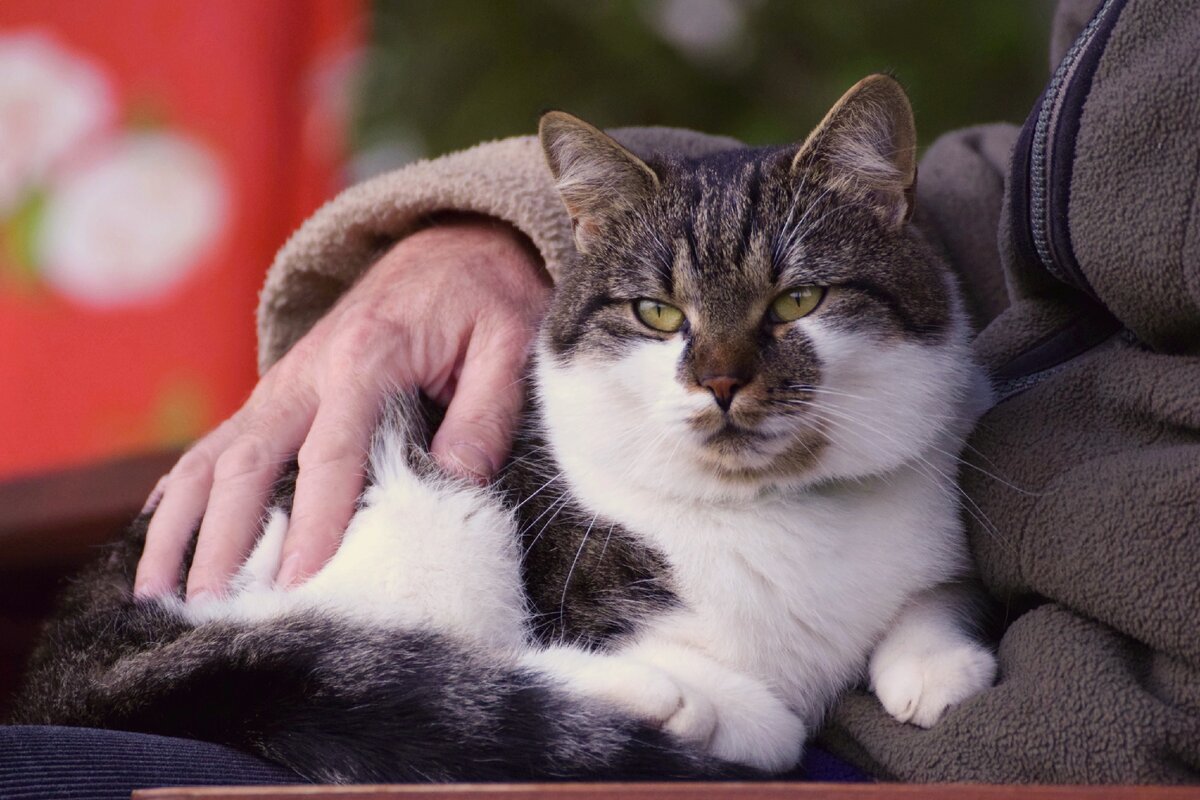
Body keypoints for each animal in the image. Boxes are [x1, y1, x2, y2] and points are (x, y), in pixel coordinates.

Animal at [14, 74, 998, 782]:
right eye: (658, 313)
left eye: (798, 300)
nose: (720, 381)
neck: (777, 513)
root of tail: (69, 650)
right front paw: (720, 702)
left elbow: (935, 589)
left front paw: (932, 664)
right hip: (417, 505)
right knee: (370, 652)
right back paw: (673, 702)